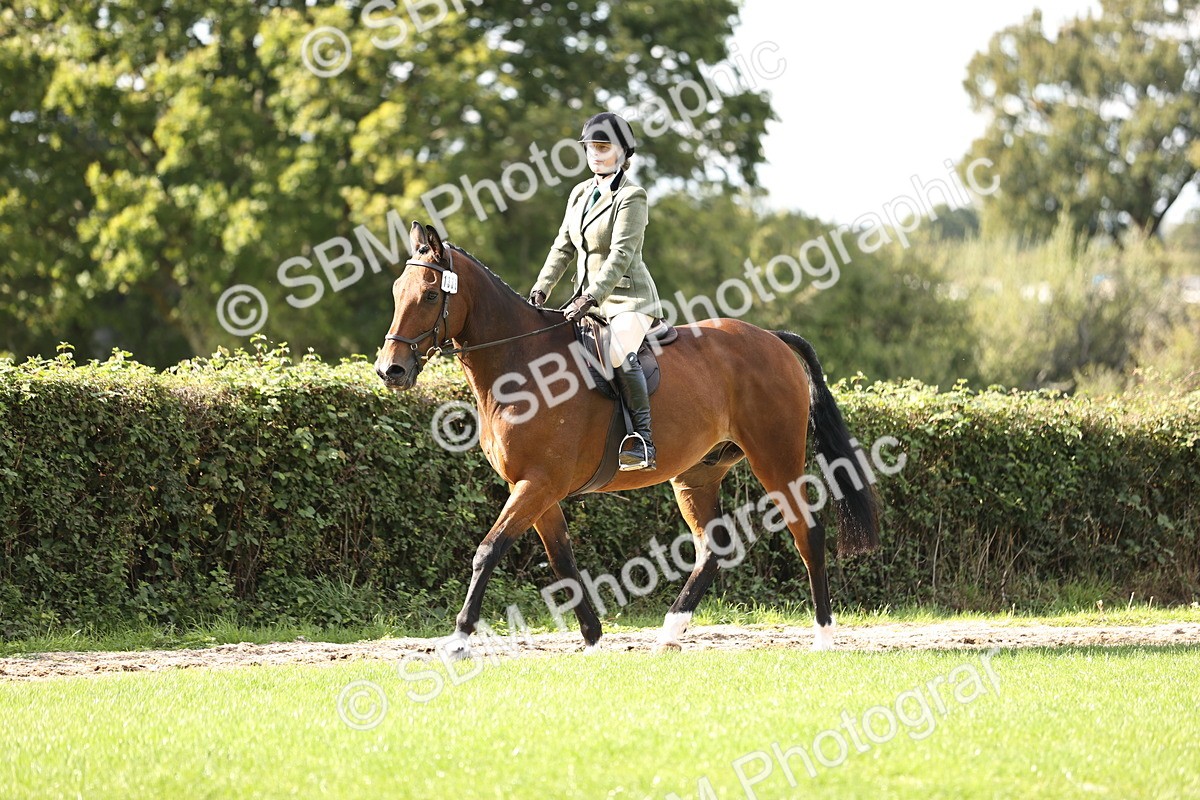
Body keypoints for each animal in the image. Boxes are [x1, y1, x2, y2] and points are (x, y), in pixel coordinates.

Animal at [375, 221, 879, 654]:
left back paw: (823, 636)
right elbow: (562, 562)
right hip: (697, 475)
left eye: (430, 294)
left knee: (807, 534)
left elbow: (488, 550)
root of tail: (772, 338)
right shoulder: (536, 489)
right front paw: (595, 640)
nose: (389, 370)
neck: (521, 365)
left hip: (775, 460)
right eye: (396, 292)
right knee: (712, 548)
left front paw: (458, 640)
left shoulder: (538, 484)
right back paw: (669, 634)